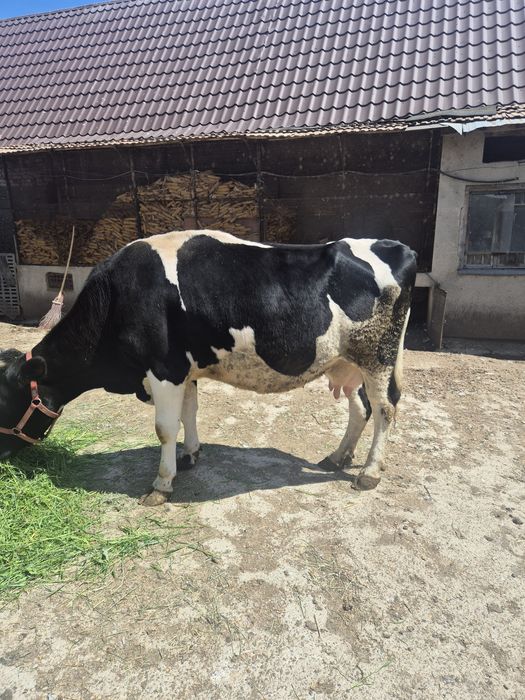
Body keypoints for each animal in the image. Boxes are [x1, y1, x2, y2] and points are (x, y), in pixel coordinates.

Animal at [0, 230, 416, 505]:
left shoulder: (164, 368)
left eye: (5, 401)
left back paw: (368, 473)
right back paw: (337, 457)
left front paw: (161, 485)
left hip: (377, 357)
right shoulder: (184, 369)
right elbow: (189, 413)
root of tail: (396, 245)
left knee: (384, 409)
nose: (2, 459)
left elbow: (165, 428)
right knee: (360, 407)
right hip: (347, 361)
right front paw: (190, 456)